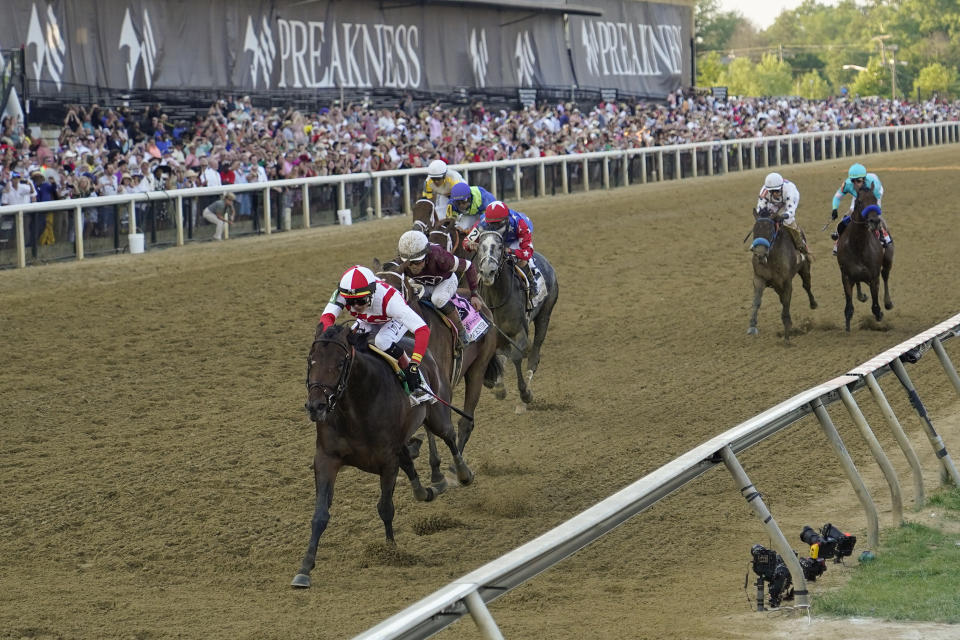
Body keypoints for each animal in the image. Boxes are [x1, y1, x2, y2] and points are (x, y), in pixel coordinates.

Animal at [292, 324, 472, 592]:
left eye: (339, 363)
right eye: (310, 360)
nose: (316, 406)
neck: (357, 407)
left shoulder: (387, 461)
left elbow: (385, 507)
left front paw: (391, 552)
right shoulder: (326, 458)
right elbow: (320, 514)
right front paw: (304, 568)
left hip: (437, 414)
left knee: (449, 436)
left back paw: (461, 474)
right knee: (410, 460)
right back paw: (426, 490)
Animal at [752, 209, 816, 340]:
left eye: (770, 231)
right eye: (755, 230)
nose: (760, 255)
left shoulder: (787, 282)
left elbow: (786, 304)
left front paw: (787, 335)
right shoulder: (759, 278)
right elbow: (757, 301)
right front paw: (752, 325)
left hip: (805, 268)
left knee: (807, 286)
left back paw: (813, 304)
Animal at [836, 186, 896, 330]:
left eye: (874, 199)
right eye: (859, 201)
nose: (874, 221)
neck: (858, 246)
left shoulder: (874, 277)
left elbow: (876, 308)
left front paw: (880, 315)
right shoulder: (846, 277)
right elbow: (848, 309)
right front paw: (847, 329)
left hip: (888, 259)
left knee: (885, 276)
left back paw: (888, 302)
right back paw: (861, 295)